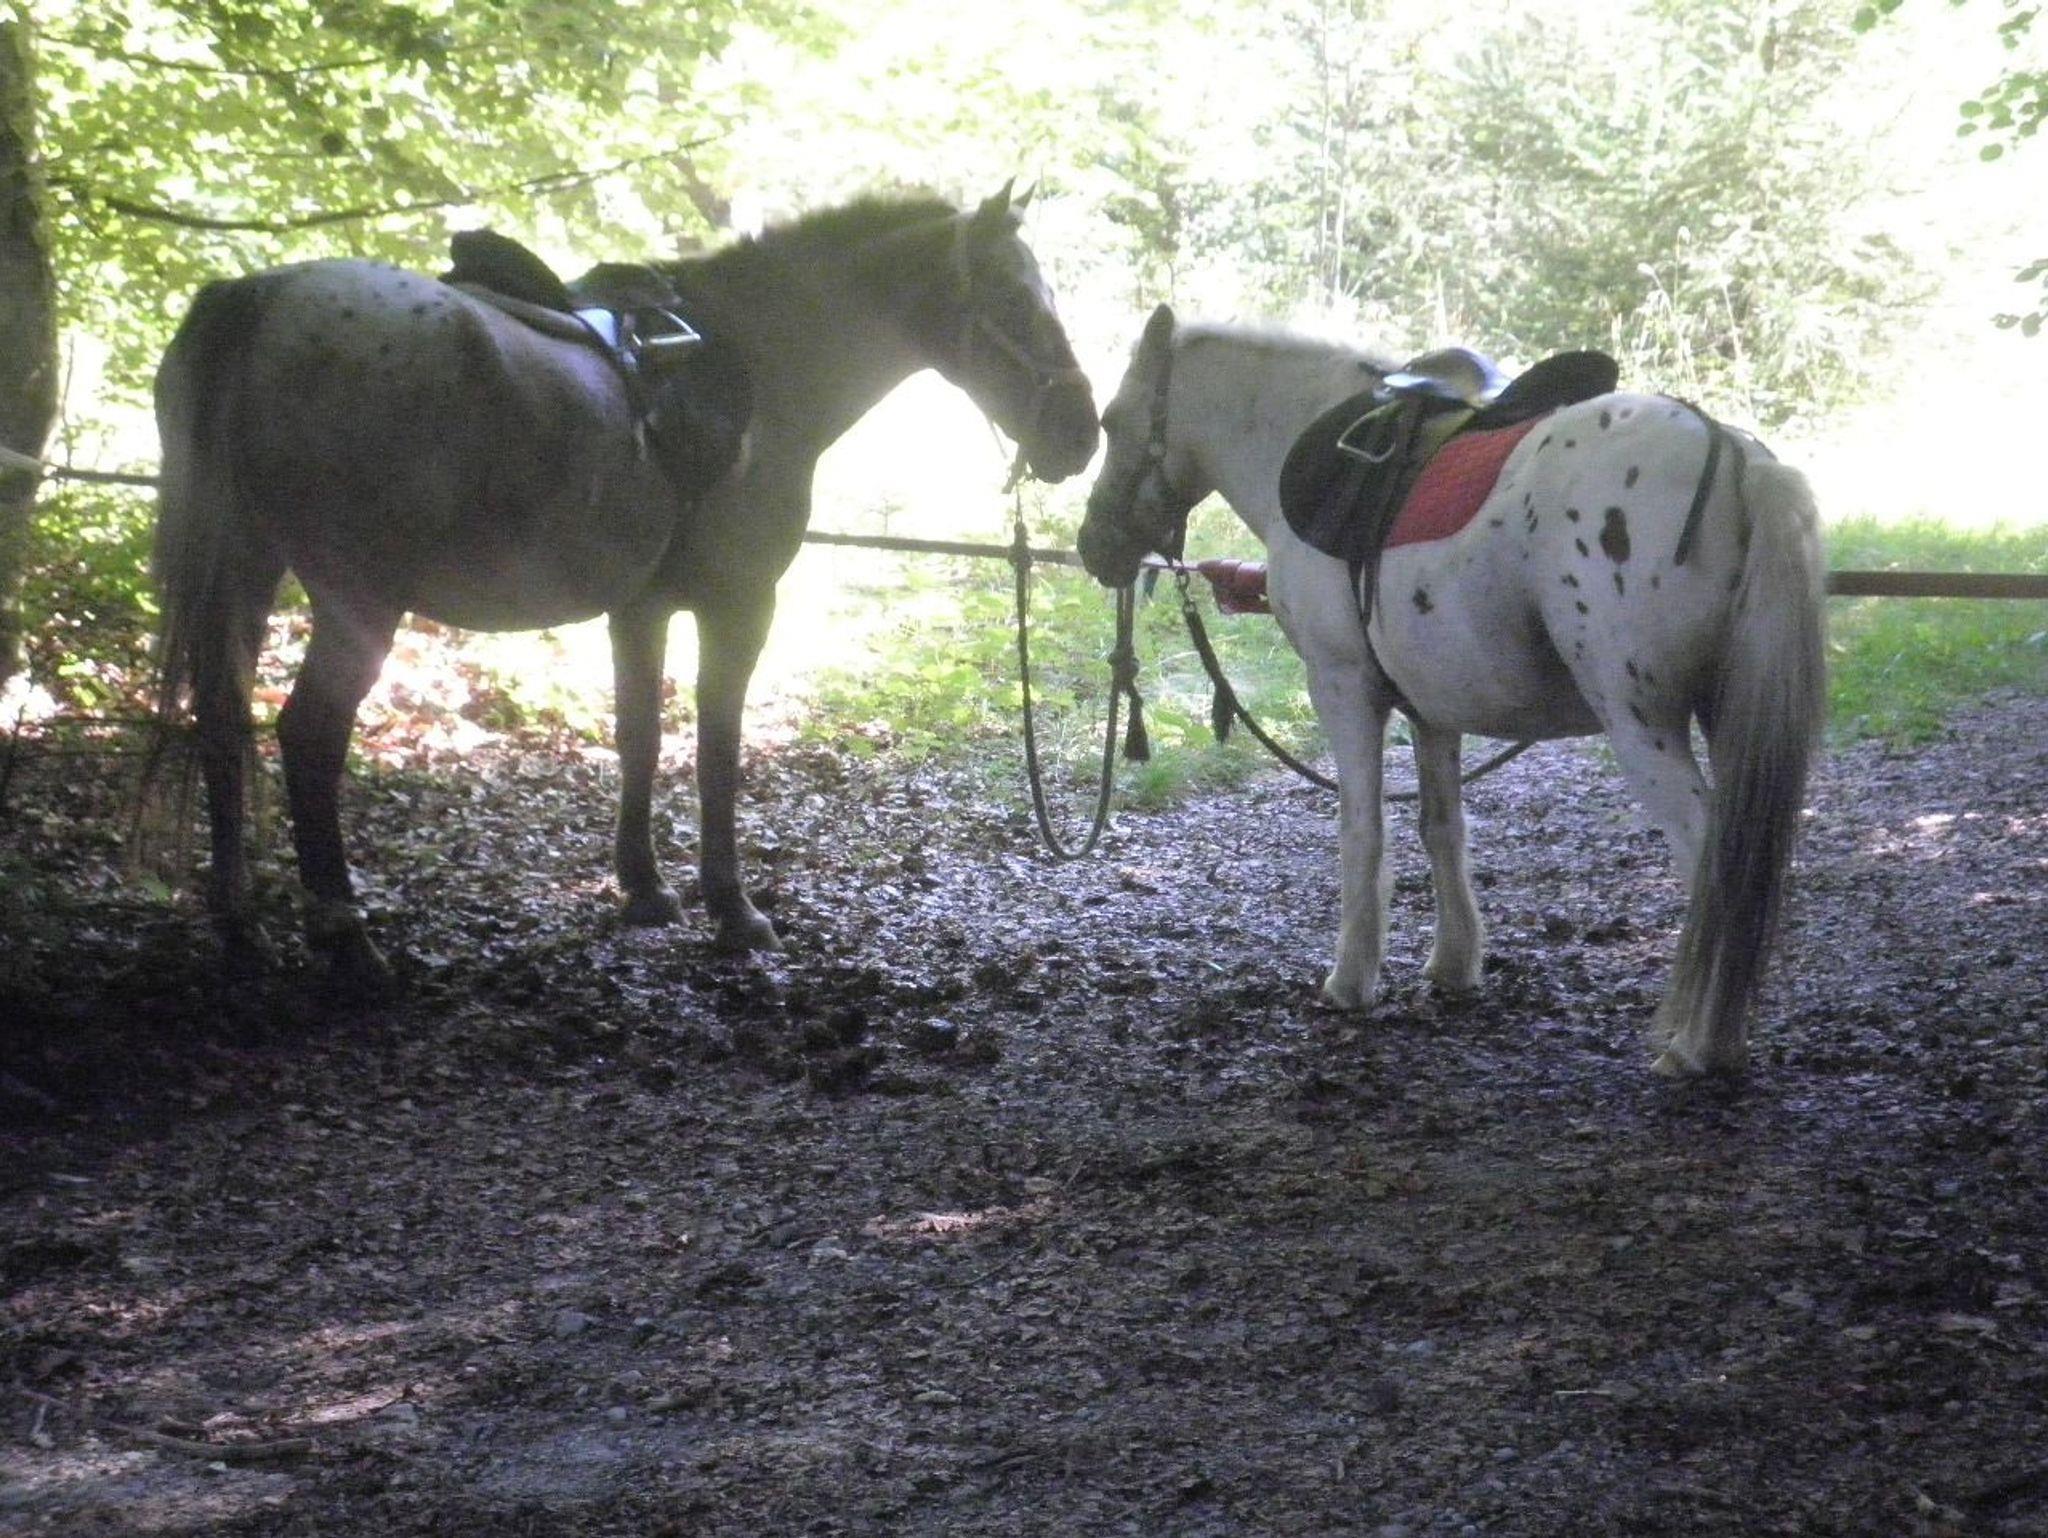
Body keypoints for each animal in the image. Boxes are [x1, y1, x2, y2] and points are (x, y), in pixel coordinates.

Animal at [154, 184, 1099, 985]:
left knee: (223, 722)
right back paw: (346, 941)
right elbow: (717, 749)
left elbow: (639, 735)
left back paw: (241, 926)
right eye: (1015, 299)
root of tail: (265, 296)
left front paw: (645, 891)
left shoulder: (639, 609)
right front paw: (734, 910)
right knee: (308, 737)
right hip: (357, 601)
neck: (759, 362)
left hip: (245, 571)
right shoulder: (739, 605)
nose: (1080, 435)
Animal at [1075, 305, 1825, 1077]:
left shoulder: (1342, 686)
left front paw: (1350, 982)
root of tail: (1733, 456)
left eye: (1111, 420)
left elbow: (1363, 831)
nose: (1092, 546)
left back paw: (1700, 1046)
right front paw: (1455, 965)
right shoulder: (1431, 708)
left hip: (1641, 723)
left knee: (1712, 858)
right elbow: (1442, 829)